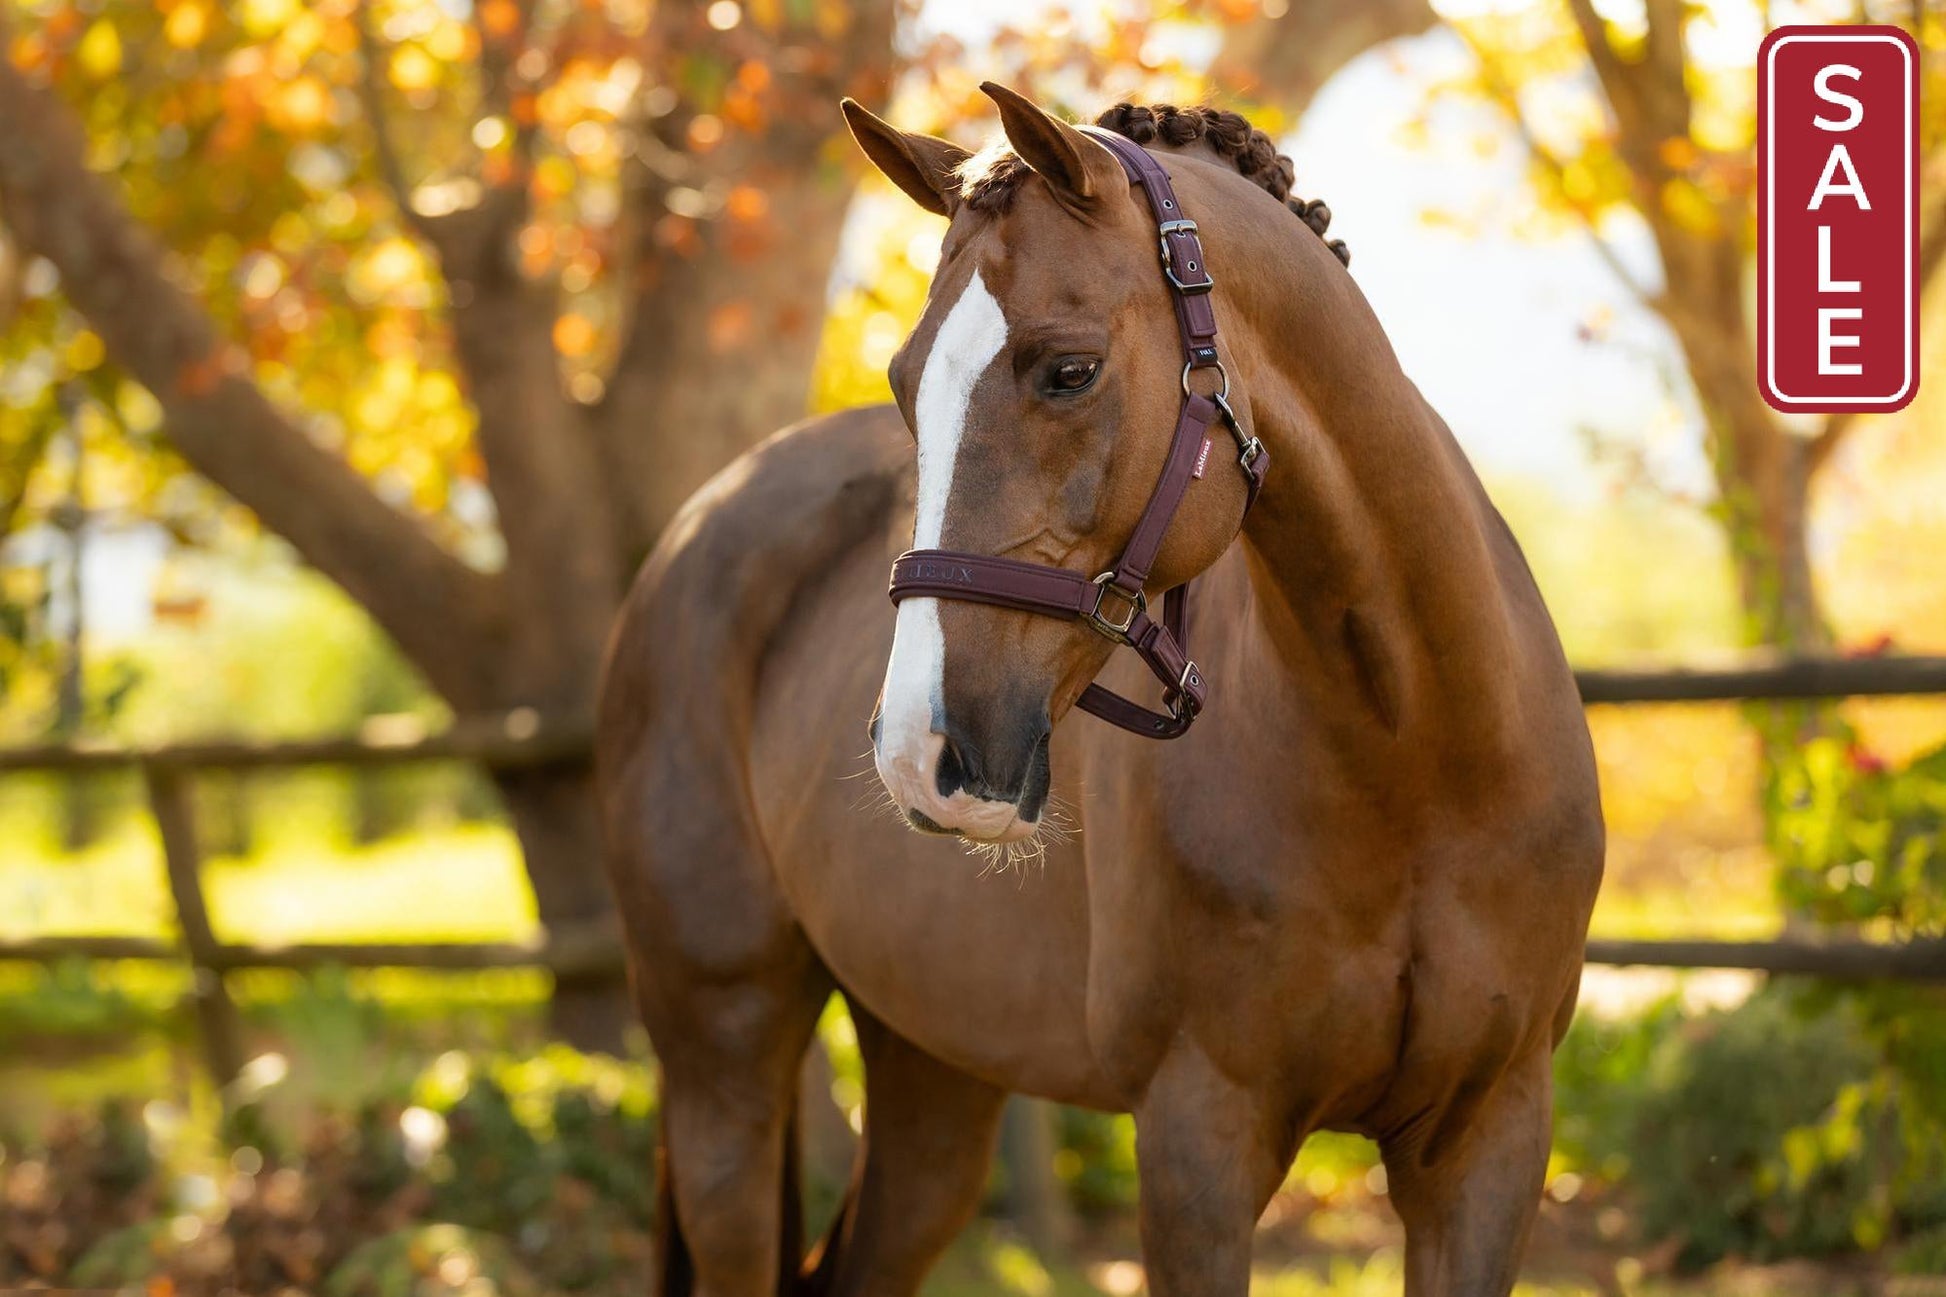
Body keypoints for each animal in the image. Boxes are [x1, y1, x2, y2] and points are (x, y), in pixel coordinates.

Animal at [595, 86, 1604, 1297]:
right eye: (902, 384)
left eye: (1067, 370)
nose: (918, 753)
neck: (1415, 760)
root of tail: (701, 521)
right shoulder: (1196, 1143)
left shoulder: (1487, 1142)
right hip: (724, 1053)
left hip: (932, 1066)